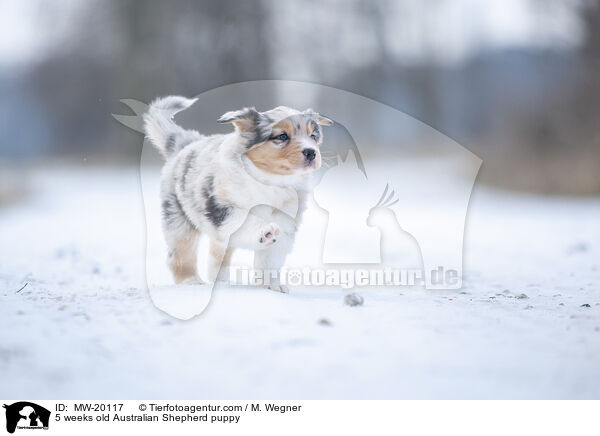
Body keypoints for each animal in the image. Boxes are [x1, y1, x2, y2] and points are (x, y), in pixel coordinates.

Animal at [145, 96, 332, 292]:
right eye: (282, 136)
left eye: (313, 136)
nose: (311, 152)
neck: (271, 182)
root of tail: (186, 144)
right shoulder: (225, 209)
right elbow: (249, 222)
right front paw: (265, 232)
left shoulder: (286, 223)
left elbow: (270, 260)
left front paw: (272, 287)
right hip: (178, 218)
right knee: (182, 254)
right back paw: (193, 282)